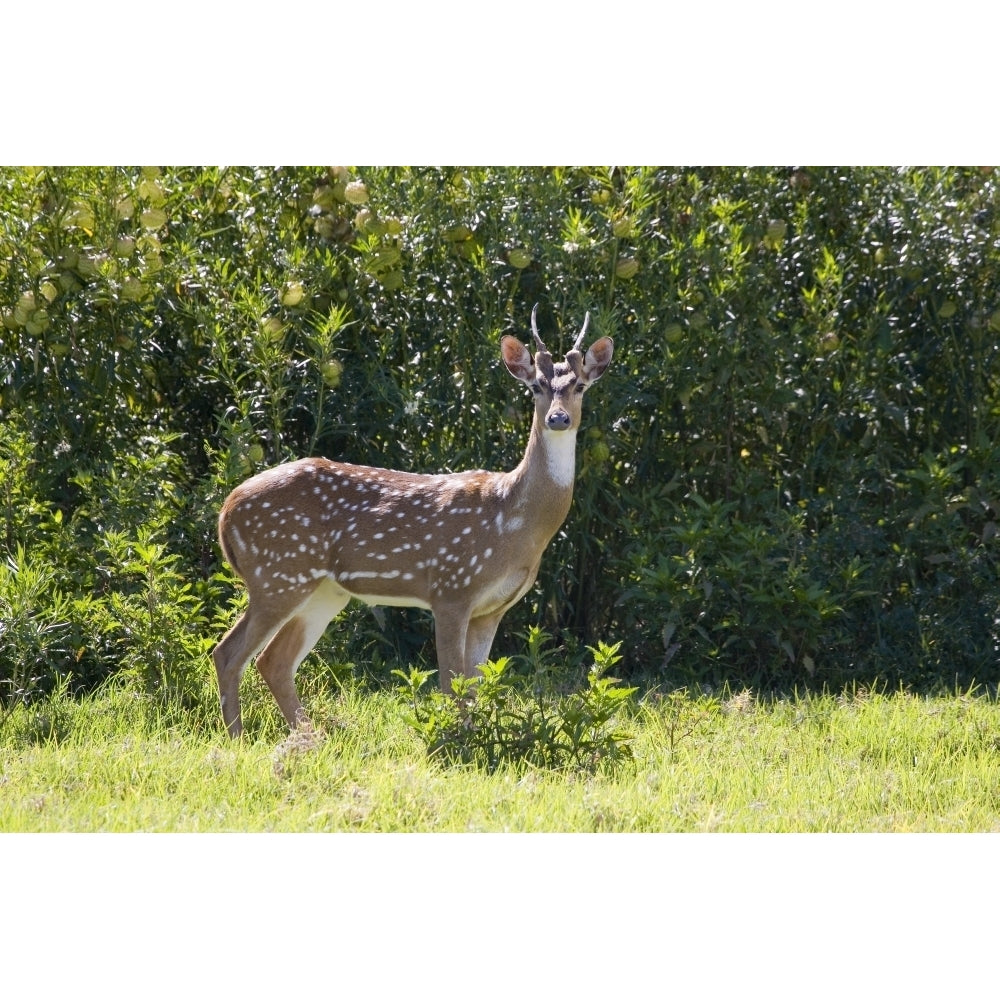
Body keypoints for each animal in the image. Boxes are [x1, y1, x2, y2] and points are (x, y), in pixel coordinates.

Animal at [215, 308, 612, 740]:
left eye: (579, 386)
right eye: (537, 386)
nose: (558, 418)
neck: (514, 522)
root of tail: (226, 510)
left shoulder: (492, 608)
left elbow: (474, 686)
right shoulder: (451, 588)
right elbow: (452, 684)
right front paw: (455, 742)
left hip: (322, 589)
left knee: (273, 660)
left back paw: (310, 739)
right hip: (277, 574)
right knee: (229, 653)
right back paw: (240, 740)